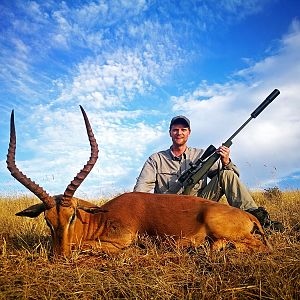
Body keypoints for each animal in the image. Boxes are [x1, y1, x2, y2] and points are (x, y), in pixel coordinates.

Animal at [7, 106, 272, 256]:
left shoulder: (120, 241)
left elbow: (83, 245)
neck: (101, 218)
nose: (59, 256)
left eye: (72, 216)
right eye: (47, 220)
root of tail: (248, 216)